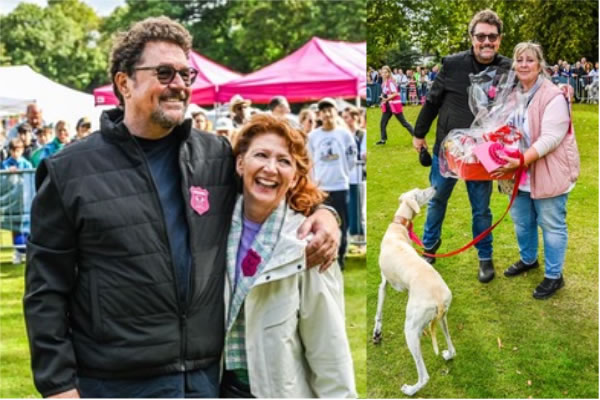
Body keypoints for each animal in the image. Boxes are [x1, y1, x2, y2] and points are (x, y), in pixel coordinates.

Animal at [372, 187, 458, 394]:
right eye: (419, 193)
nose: (435, 188)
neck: (398, 228)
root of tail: (438, 299)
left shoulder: (383, 283)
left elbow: (378, 312)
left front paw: (377, 333)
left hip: (410, 329)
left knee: (424, 375)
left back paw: (411, 389)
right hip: (442, 318)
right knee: (453, 349)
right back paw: (448, 354)